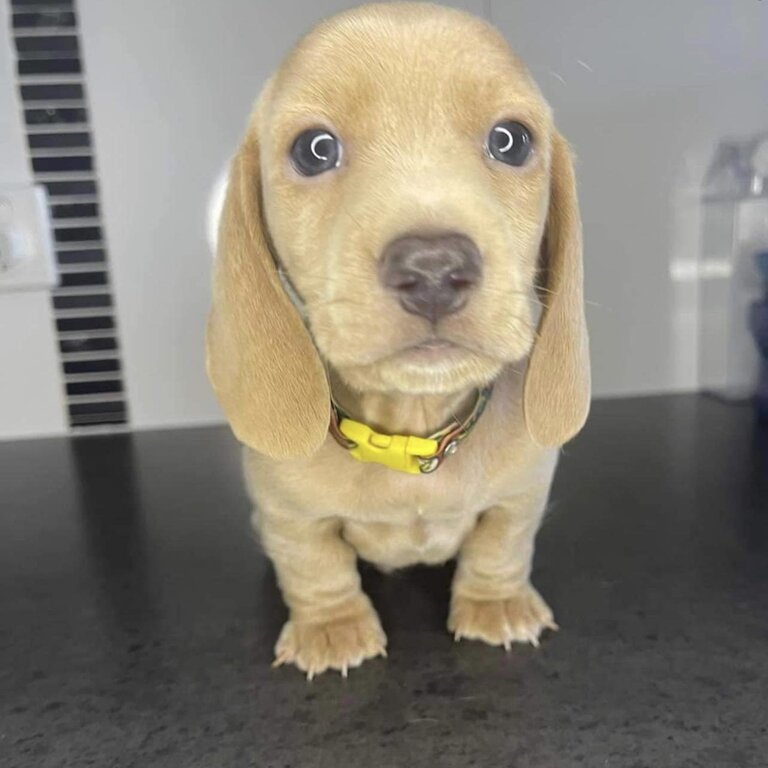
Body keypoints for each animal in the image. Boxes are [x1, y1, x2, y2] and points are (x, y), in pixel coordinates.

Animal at [207, 1, 592, 680]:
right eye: (314, 150)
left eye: (511, 139)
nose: (435, 270)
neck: (411, 432)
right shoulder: (287, 514)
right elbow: (313, 563)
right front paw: (332, 627)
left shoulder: (523, 493)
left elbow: (504, 541)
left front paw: (496, 602)